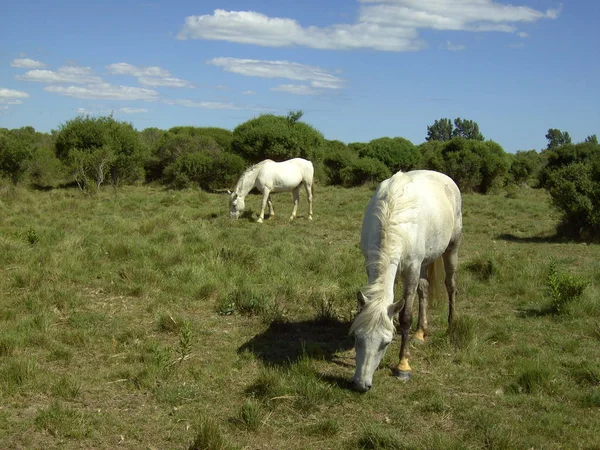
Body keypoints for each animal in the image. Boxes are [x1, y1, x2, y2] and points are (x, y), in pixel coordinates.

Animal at [350, 171, 462, 392]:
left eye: (385, 343)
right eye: (357, 337)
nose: (361, 385)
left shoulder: (411, 270)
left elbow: (405, 317)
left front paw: (403, 366)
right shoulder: (372, 264)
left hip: (451, 248)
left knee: (450, 284)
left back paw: (451, 323)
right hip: (426, 261)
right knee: (424, 289)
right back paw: (420, 332)